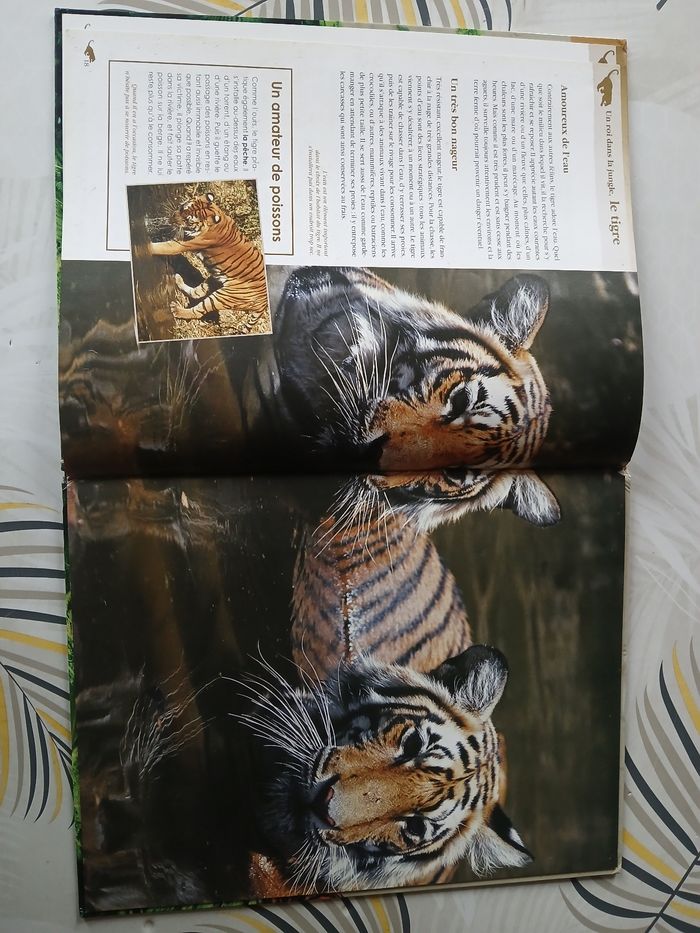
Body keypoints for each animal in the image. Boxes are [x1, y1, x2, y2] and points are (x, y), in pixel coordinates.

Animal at [148, 192, 269, 325]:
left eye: (188, 220)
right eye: (182, 209)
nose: (172, 218)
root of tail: (264, 304)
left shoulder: (181, 244)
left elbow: (162, 247)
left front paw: (145, 247)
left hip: (223, 297)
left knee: (198, 311)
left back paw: (177, 310)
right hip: (215, 280)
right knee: (196, 293)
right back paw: (178, 279)